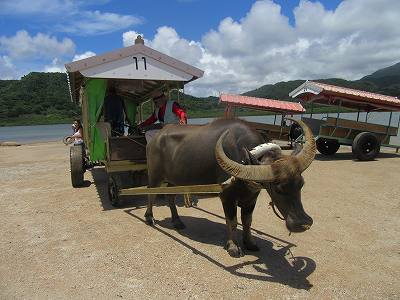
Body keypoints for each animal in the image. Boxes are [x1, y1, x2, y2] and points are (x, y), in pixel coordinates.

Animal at [144, 118, 316, 256]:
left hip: (174, 181)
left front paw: (249, 242)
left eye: (301, 184)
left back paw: (177, 221)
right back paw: (149, 217)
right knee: (151, 194)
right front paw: (233, 246)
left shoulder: (251, 197)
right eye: (277, 188)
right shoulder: (227, 196)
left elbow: (247, 220)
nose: (302, 223)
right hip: (155, 176)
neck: (245, 162)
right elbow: (232, 221)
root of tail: (155, 138)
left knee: (170, 197)